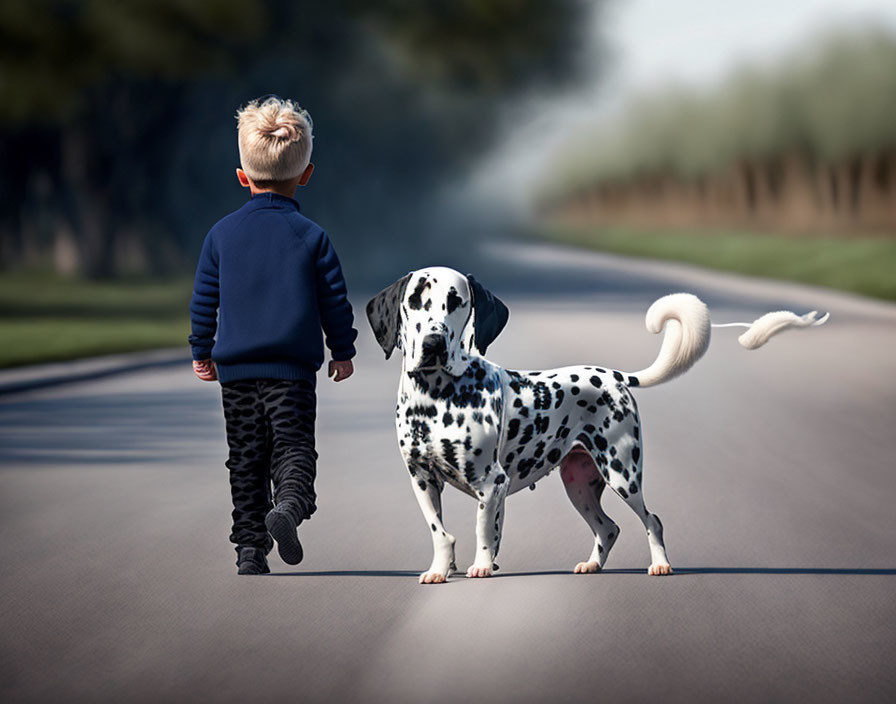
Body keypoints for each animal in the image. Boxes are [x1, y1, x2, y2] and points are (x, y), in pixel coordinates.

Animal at [366, 268, 824, 584]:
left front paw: (481, 566)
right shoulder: (422, 480)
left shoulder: (491, 484)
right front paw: (441, 569)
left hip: (623, 475)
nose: (433, 343)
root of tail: (616, 375)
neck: (435, 398)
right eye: (415, 300)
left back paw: (661, 565)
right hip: (579, 486)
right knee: (609, 527)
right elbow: (440, 532)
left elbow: (483, 531)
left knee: (652, 520)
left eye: (457, 301)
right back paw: (592, 564)